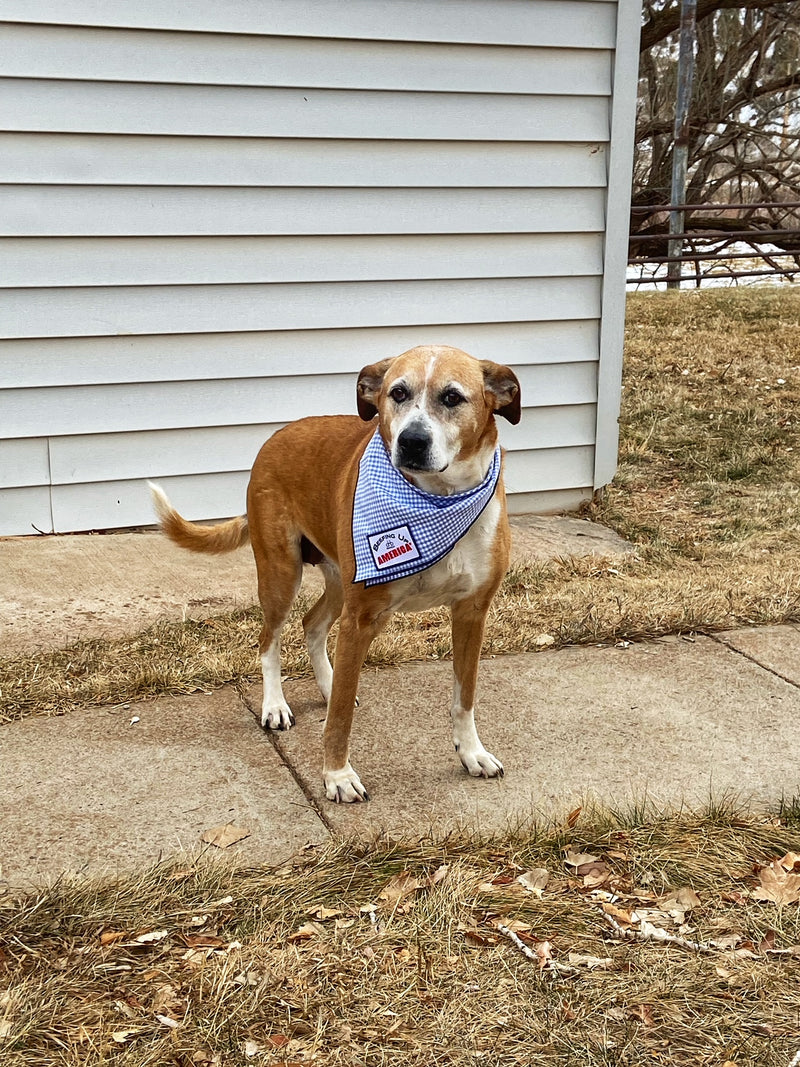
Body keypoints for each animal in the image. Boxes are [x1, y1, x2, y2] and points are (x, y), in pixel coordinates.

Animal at [151, 345, 520, 802]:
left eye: (452, 397)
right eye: (398, 392)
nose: (411, 441)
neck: (437, 500)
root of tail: (275, 437)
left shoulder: (472, 613)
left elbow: (463, 695)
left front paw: (472, 753)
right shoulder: (361, 618)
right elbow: (341, 716)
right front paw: (337, 776)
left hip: (341, 580)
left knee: (312, 625)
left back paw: (327, 684)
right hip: (281, 574)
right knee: (269, 639)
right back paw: (275, 705)